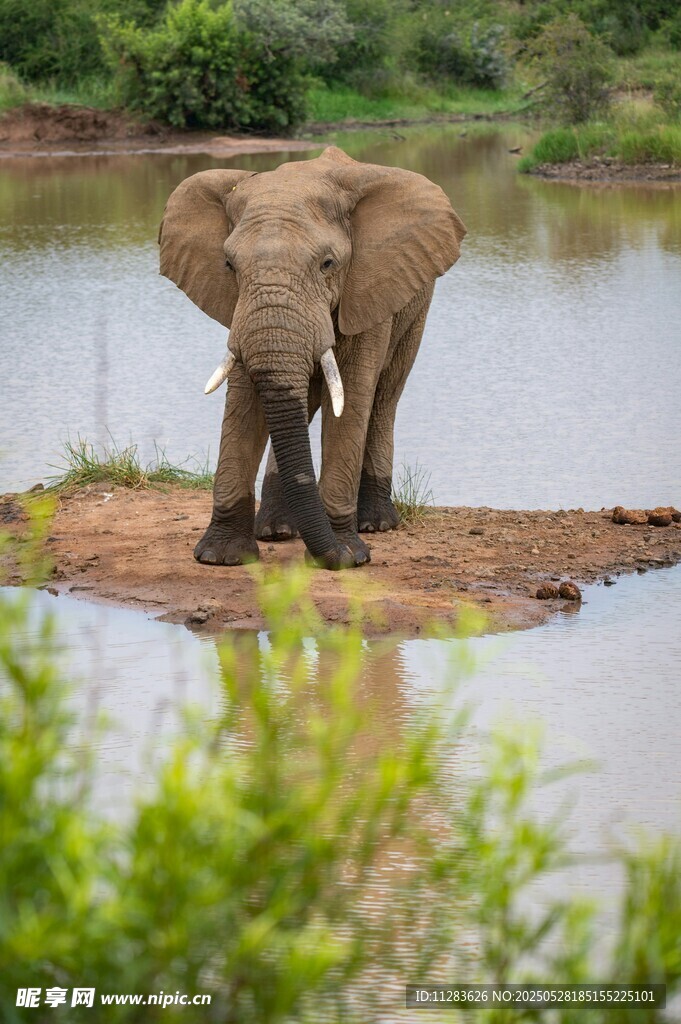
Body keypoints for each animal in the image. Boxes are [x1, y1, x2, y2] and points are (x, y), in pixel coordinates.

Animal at [158, 146, 466, 570]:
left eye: (328, 264)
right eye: (229, 265)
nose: (334, 556)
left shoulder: (367, 290)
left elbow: (352, 399)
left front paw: (348, 556)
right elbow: (244, 401)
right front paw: (220, 557)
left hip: (415, 305)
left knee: (384, 398)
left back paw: (375, 524)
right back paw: (275, 531)